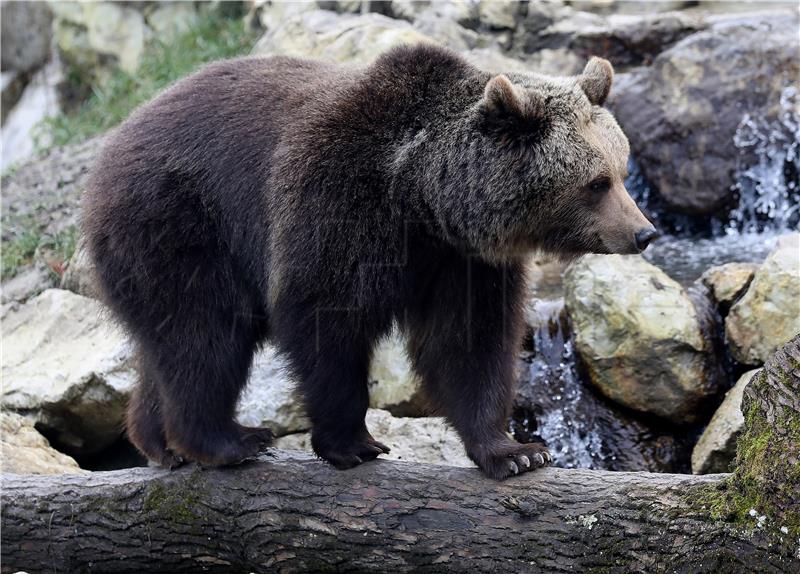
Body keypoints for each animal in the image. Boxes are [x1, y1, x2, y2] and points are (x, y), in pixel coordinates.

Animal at [84, 44, 656, 482]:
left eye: (622, 167)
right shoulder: (336, 208)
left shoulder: (462, 263)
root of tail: (114, 140)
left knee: (169, 343)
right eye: (597, 183)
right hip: (180, 222)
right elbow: (323, 323)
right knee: (206, 333)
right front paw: (354, 442)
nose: (643, 232)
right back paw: (228, 440)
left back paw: (162, 443)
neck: (419, 198)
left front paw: (515, 453)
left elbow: (470, 343)